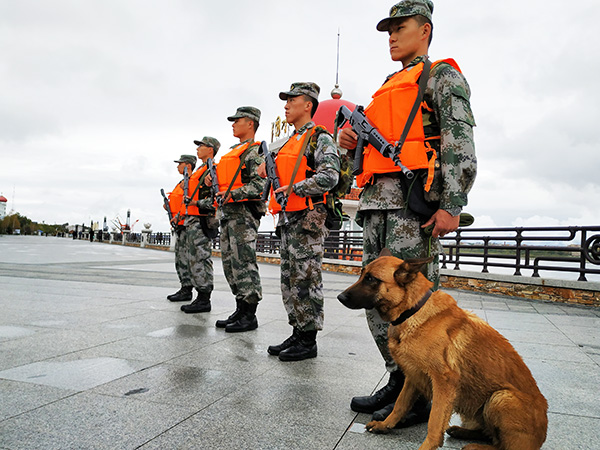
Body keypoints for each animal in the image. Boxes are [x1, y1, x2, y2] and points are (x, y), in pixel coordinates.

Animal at [338, 250, 548, 450]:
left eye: (371, 279)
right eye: (361, 275)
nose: (339, 297)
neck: (413, 311)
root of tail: (541, 437)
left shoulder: (444, 382)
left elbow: (434, 421)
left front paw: (426, 446)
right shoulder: (413, 375)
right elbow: (400, 404)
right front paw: (385, 425)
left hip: (501, 397)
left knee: (503, 445)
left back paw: (475, 446)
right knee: (488, 434)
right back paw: (462, 432)